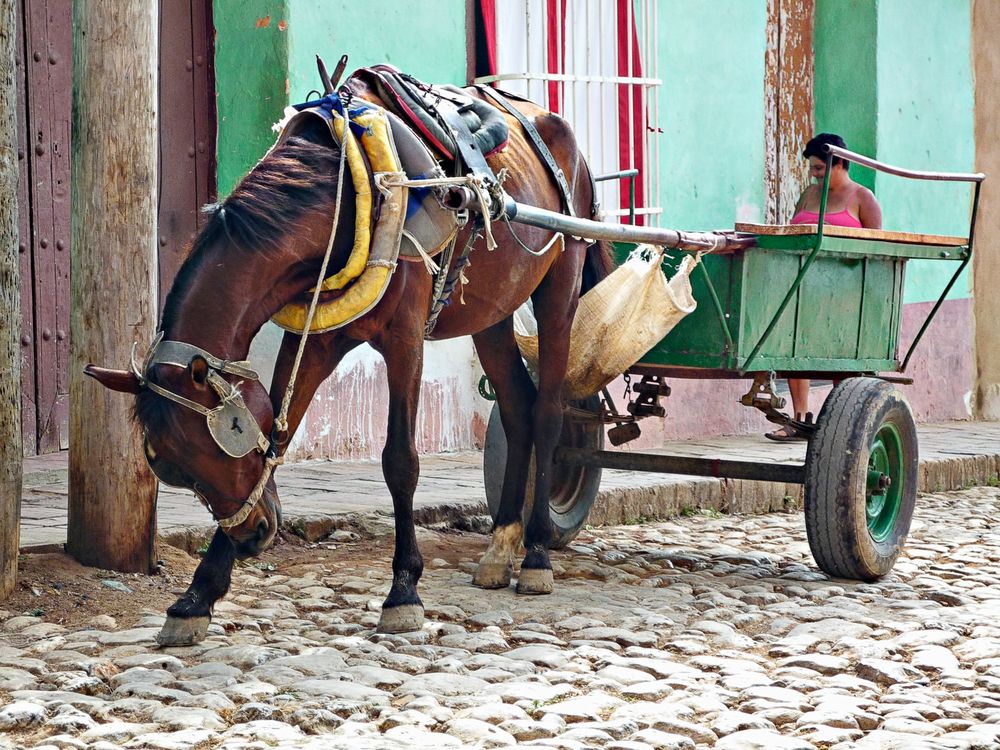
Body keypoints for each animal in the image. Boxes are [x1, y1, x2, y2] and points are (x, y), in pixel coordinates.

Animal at [86, 75, 612, 648]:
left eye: (229, 436)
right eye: (170, 465)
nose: (253, 537)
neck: (347, 196)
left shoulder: (406, 338)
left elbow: (401, 462)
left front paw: (404, 591)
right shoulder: (311, 340)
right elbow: (281, 438)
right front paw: (197, 597)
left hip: (559, 288)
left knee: (548, 415)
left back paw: (536, 554)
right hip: (491, 311)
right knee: (517, 408)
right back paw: (501, 547)